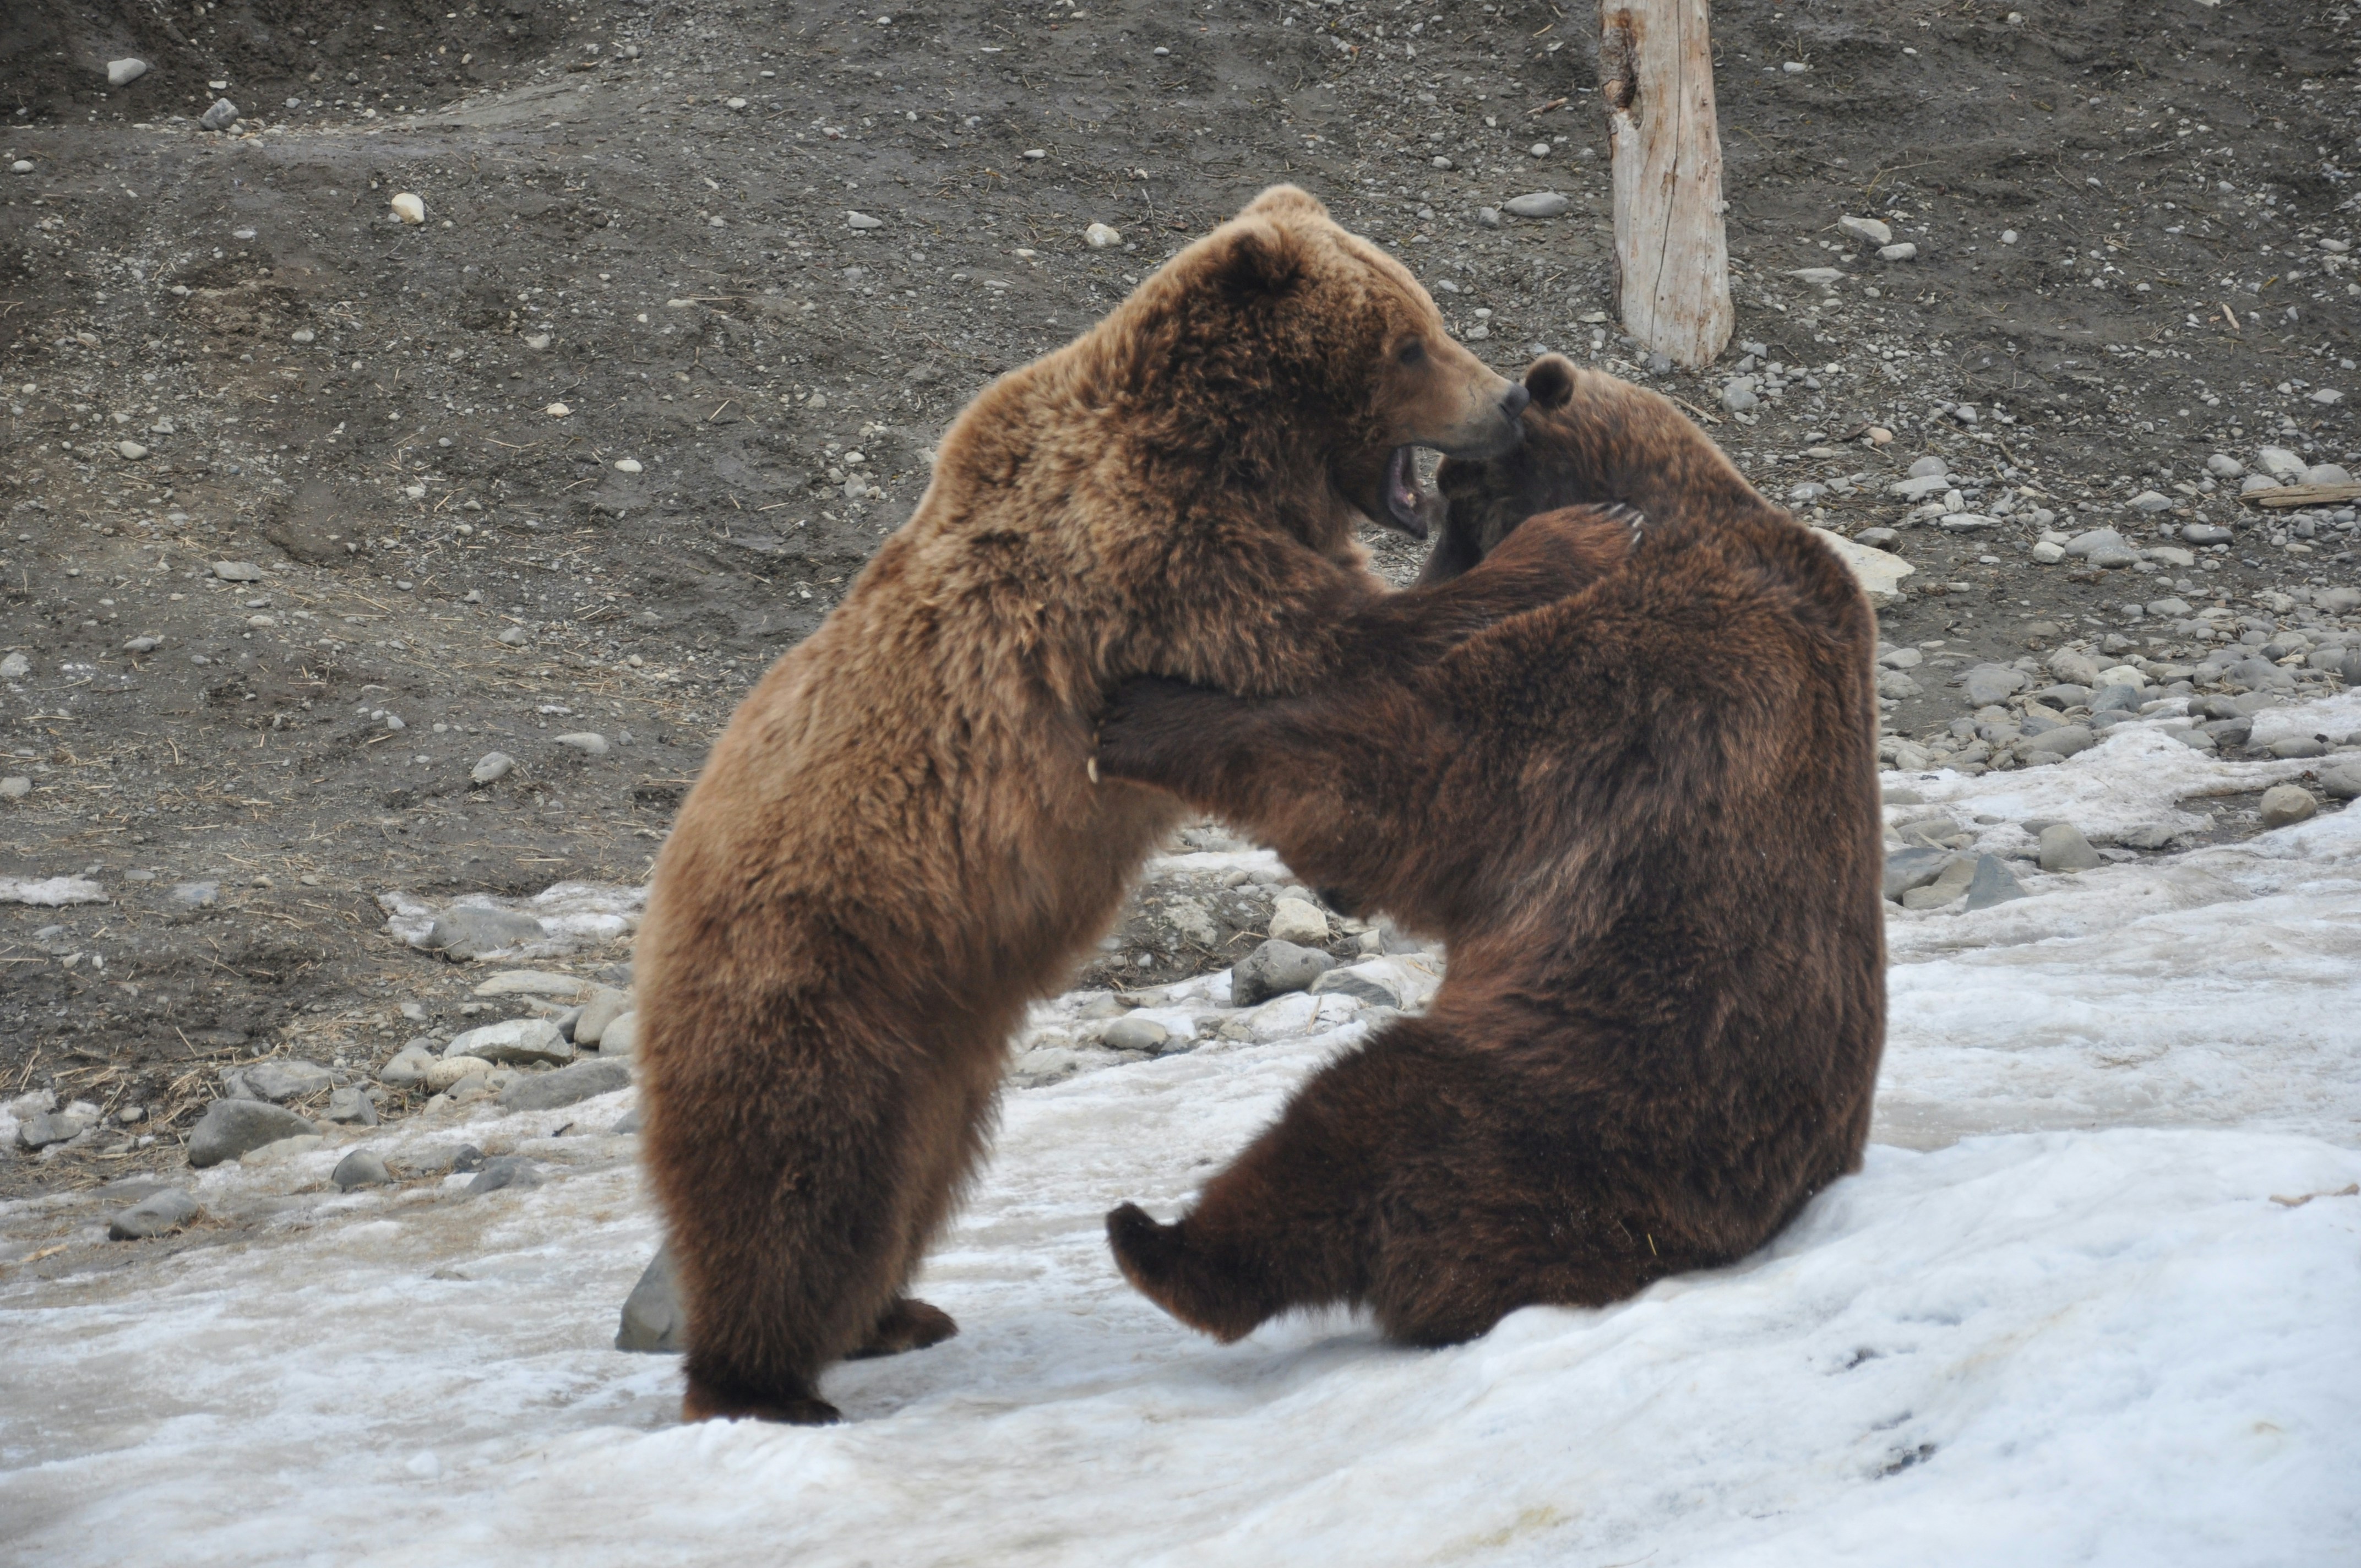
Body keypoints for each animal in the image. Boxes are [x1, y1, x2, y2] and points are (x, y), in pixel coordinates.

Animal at [633, 186, 1545, 1425]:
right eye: (1409, 340)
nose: (1505, 400)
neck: (1239, 454)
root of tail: (656, 908)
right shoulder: (1147, 552)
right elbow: (1324, 636)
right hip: (811, 969)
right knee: (794, 1181)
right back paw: (765, 1383)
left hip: (938, 1049)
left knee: (904, 1180)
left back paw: (890, 1314)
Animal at [1093, 353, 1888, 1348]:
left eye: (1455, 508)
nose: (1419, 576)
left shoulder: (1629, 669)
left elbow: (1416, 771)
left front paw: (1147, 712)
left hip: (1573, 1107)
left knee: (1361, 1121)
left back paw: (1159, 1243)